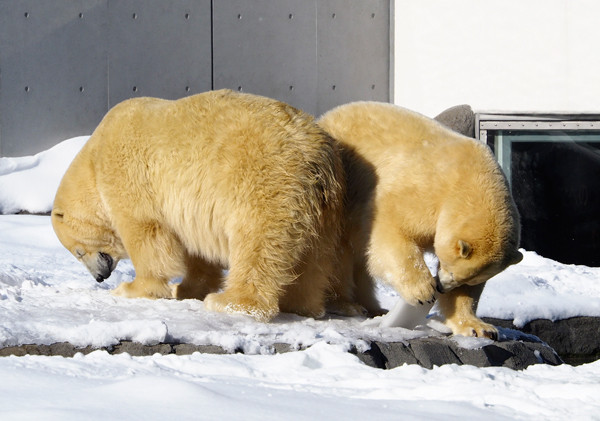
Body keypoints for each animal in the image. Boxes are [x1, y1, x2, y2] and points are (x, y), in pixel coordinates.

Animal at [52, 88, 342, 318]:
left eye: (78, 252)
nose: (100, 277)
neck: (93, 160)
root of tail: (311, 153)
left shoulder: (126, 172)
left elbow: (146, 232)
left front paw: (132, 288)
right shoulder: (193, 209)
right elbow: (197, 249)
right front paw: (185, 288)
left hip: (263, 179)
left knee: (258, 241)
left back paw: (231, 302)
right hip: (323, 206)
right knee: (315, 256)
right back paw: (302, 305)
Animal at [322, 101, 524, 338]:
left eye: (465, 278)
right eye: (452, 271)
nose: (442, 288)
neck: (470, 181)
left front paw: (478, 327)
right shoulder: (422, 191)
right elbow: (392, 231)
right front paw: (423, 291)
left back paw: (374, 308)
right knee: (339, 256)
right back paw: (347, 304)